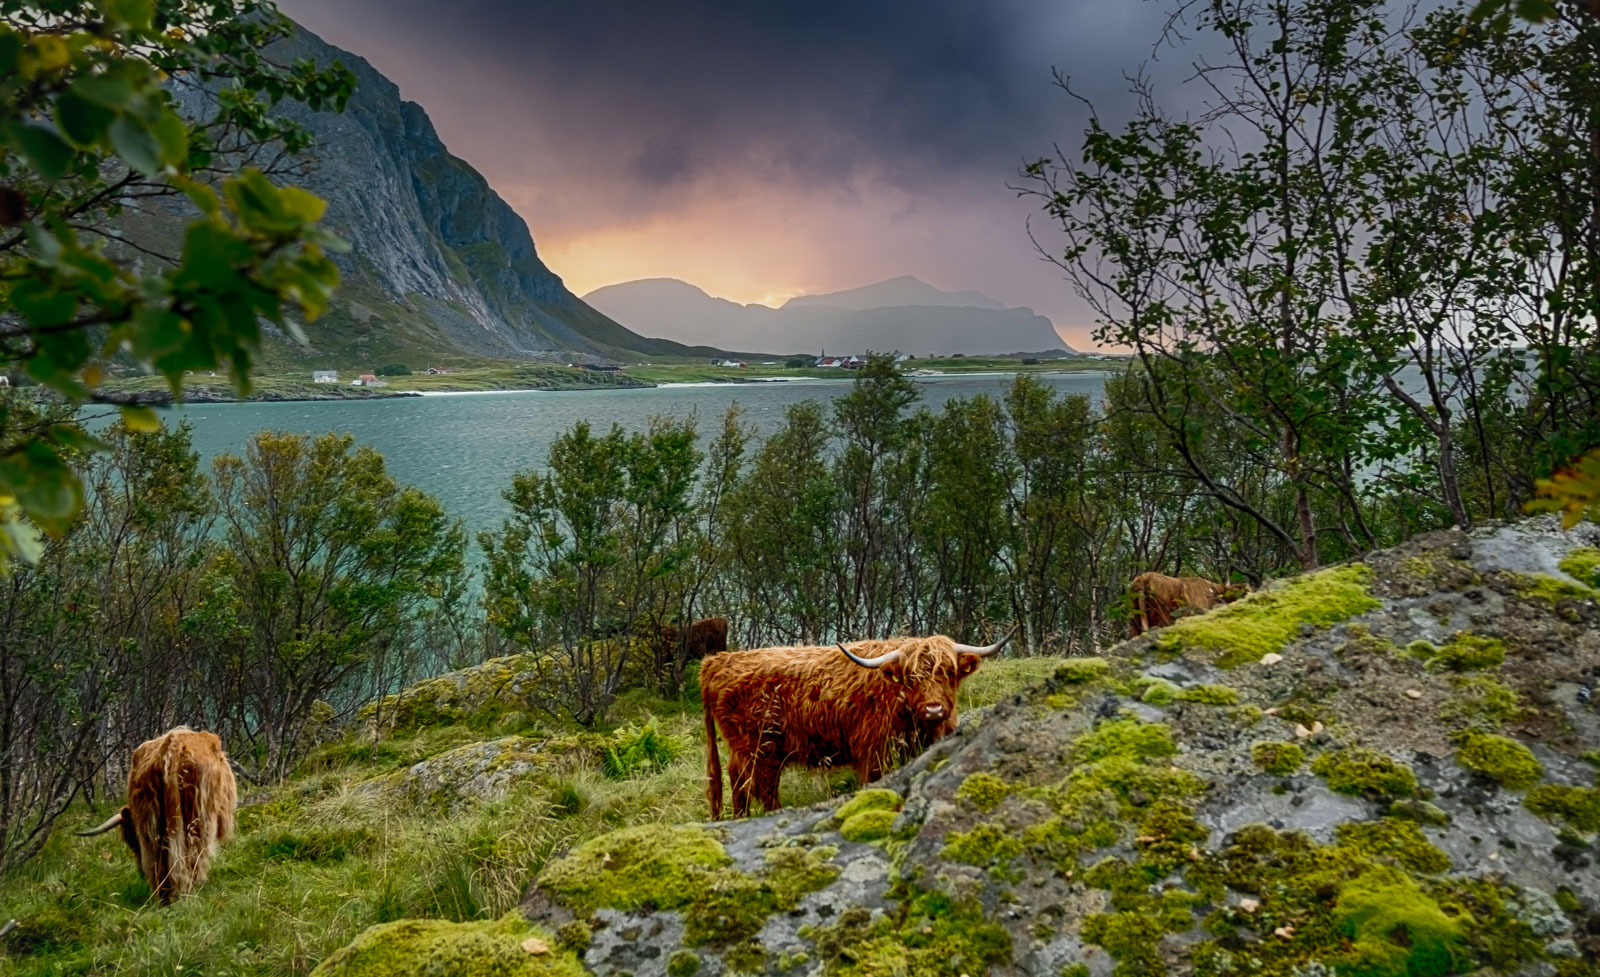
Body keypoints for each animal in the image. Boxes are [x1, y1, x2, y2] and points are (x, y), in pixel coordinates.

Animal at [700, 626, 1011, 818]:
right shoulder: (875, 752)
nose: (933, 709)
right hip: (759, 748)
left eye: (948, 672)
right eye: (911, 678)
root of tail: (717, 661)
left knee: (738, 779)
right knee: (758, 785)